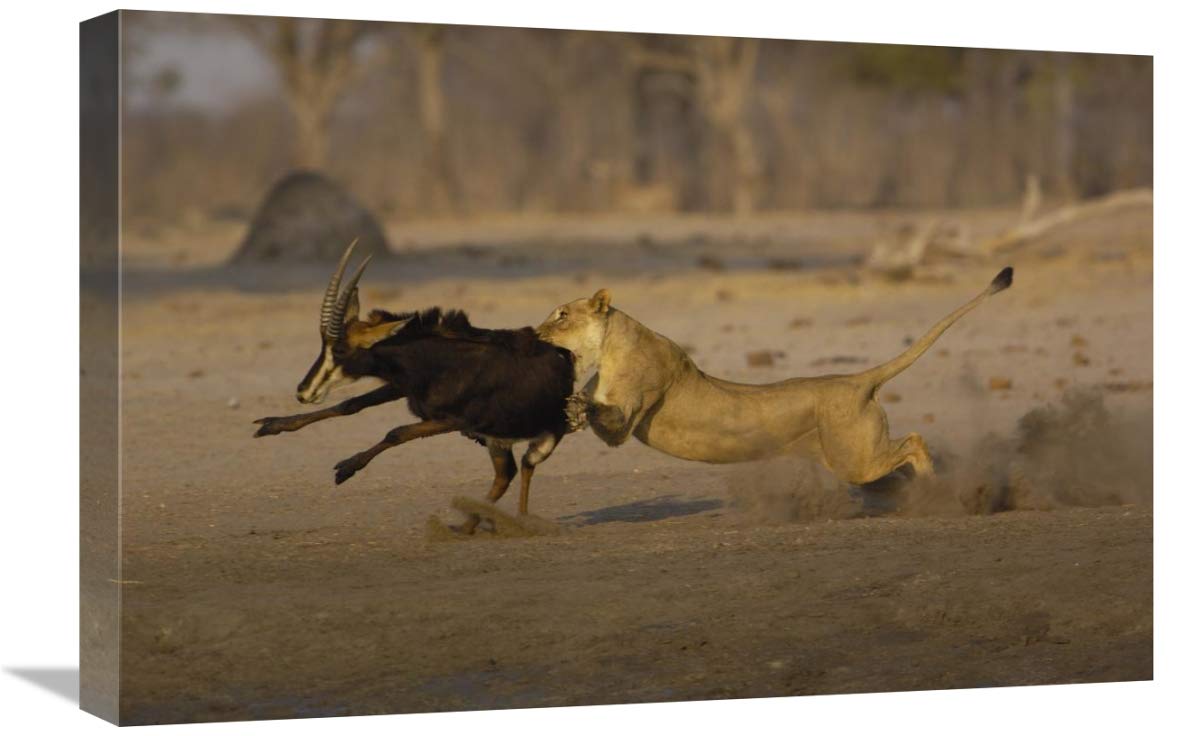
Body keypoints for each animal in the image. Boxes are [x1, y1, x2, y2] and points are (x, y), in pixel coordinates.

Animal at [253, 241, 576, 534]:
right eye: (323, 345)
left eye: (341, 350)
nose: (304, 391)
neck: (437, 359)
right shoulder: (403, 387)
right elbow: (349, 405)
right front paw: (271, 425)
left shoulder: (453, 420)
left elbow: (396, 432)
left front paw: (346, 468)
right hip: (496, 441)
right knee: (505, 474)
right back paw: (466, 526)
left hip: (527, 438)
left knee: (520, 468)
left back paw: (511, 523)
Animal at [537, 268, 1013, 484]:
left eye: (561, 315)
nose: (536, 333)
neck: (609, 350)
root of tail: (857, 380)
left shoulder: (632, 410)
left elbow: (608, 416)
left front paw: (578, 405)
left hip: (854, 458)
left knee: (914, 440)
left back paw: (934, 485)